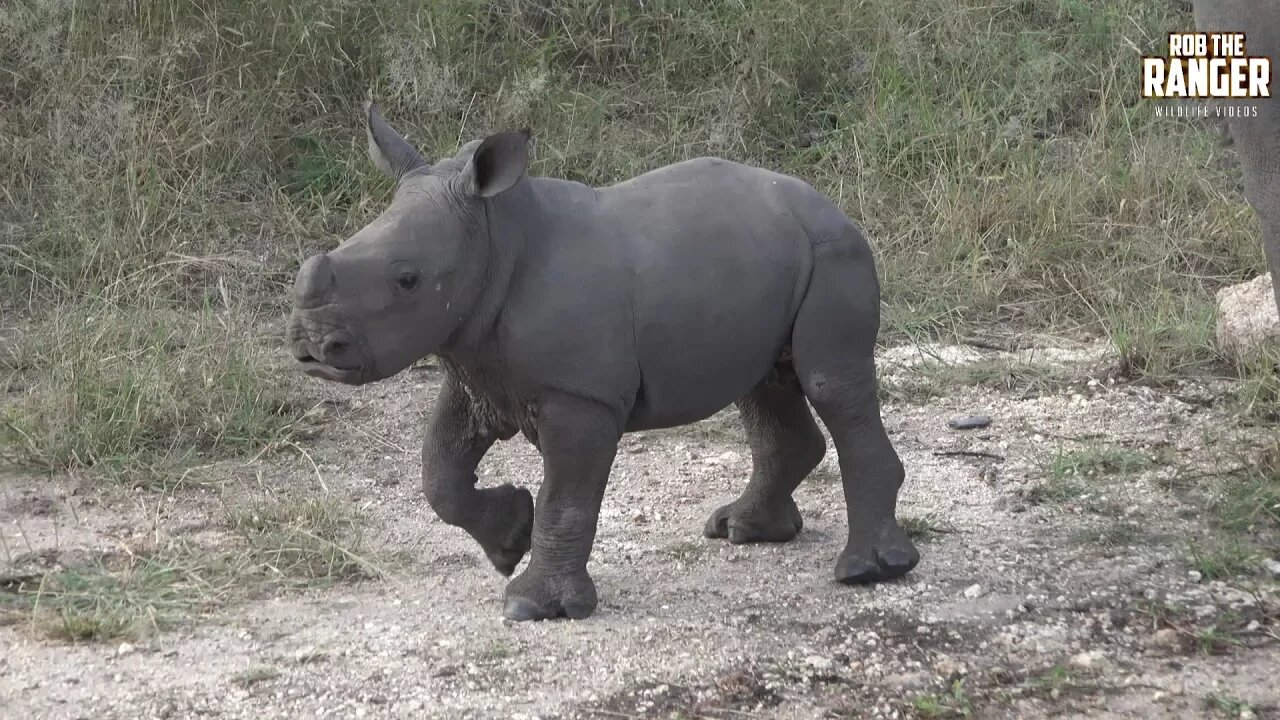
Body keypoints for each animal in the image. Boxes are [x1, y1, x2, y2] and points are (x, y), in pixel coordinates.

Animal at [284, 103, 916, 620]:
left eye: (408, 280)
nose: (312, 344)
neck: (494, 236)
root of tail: (827, 203)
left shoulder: (579, 395)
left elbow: (566, 499)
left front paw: (534, 607)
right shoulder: (477, 369)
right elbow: (439, 472)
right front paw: (510, 539)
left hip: (834, 253)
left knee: (830, 383)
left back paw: (868, 571)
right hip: (775, 260)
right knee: (765, 387)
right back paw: (744, 531)